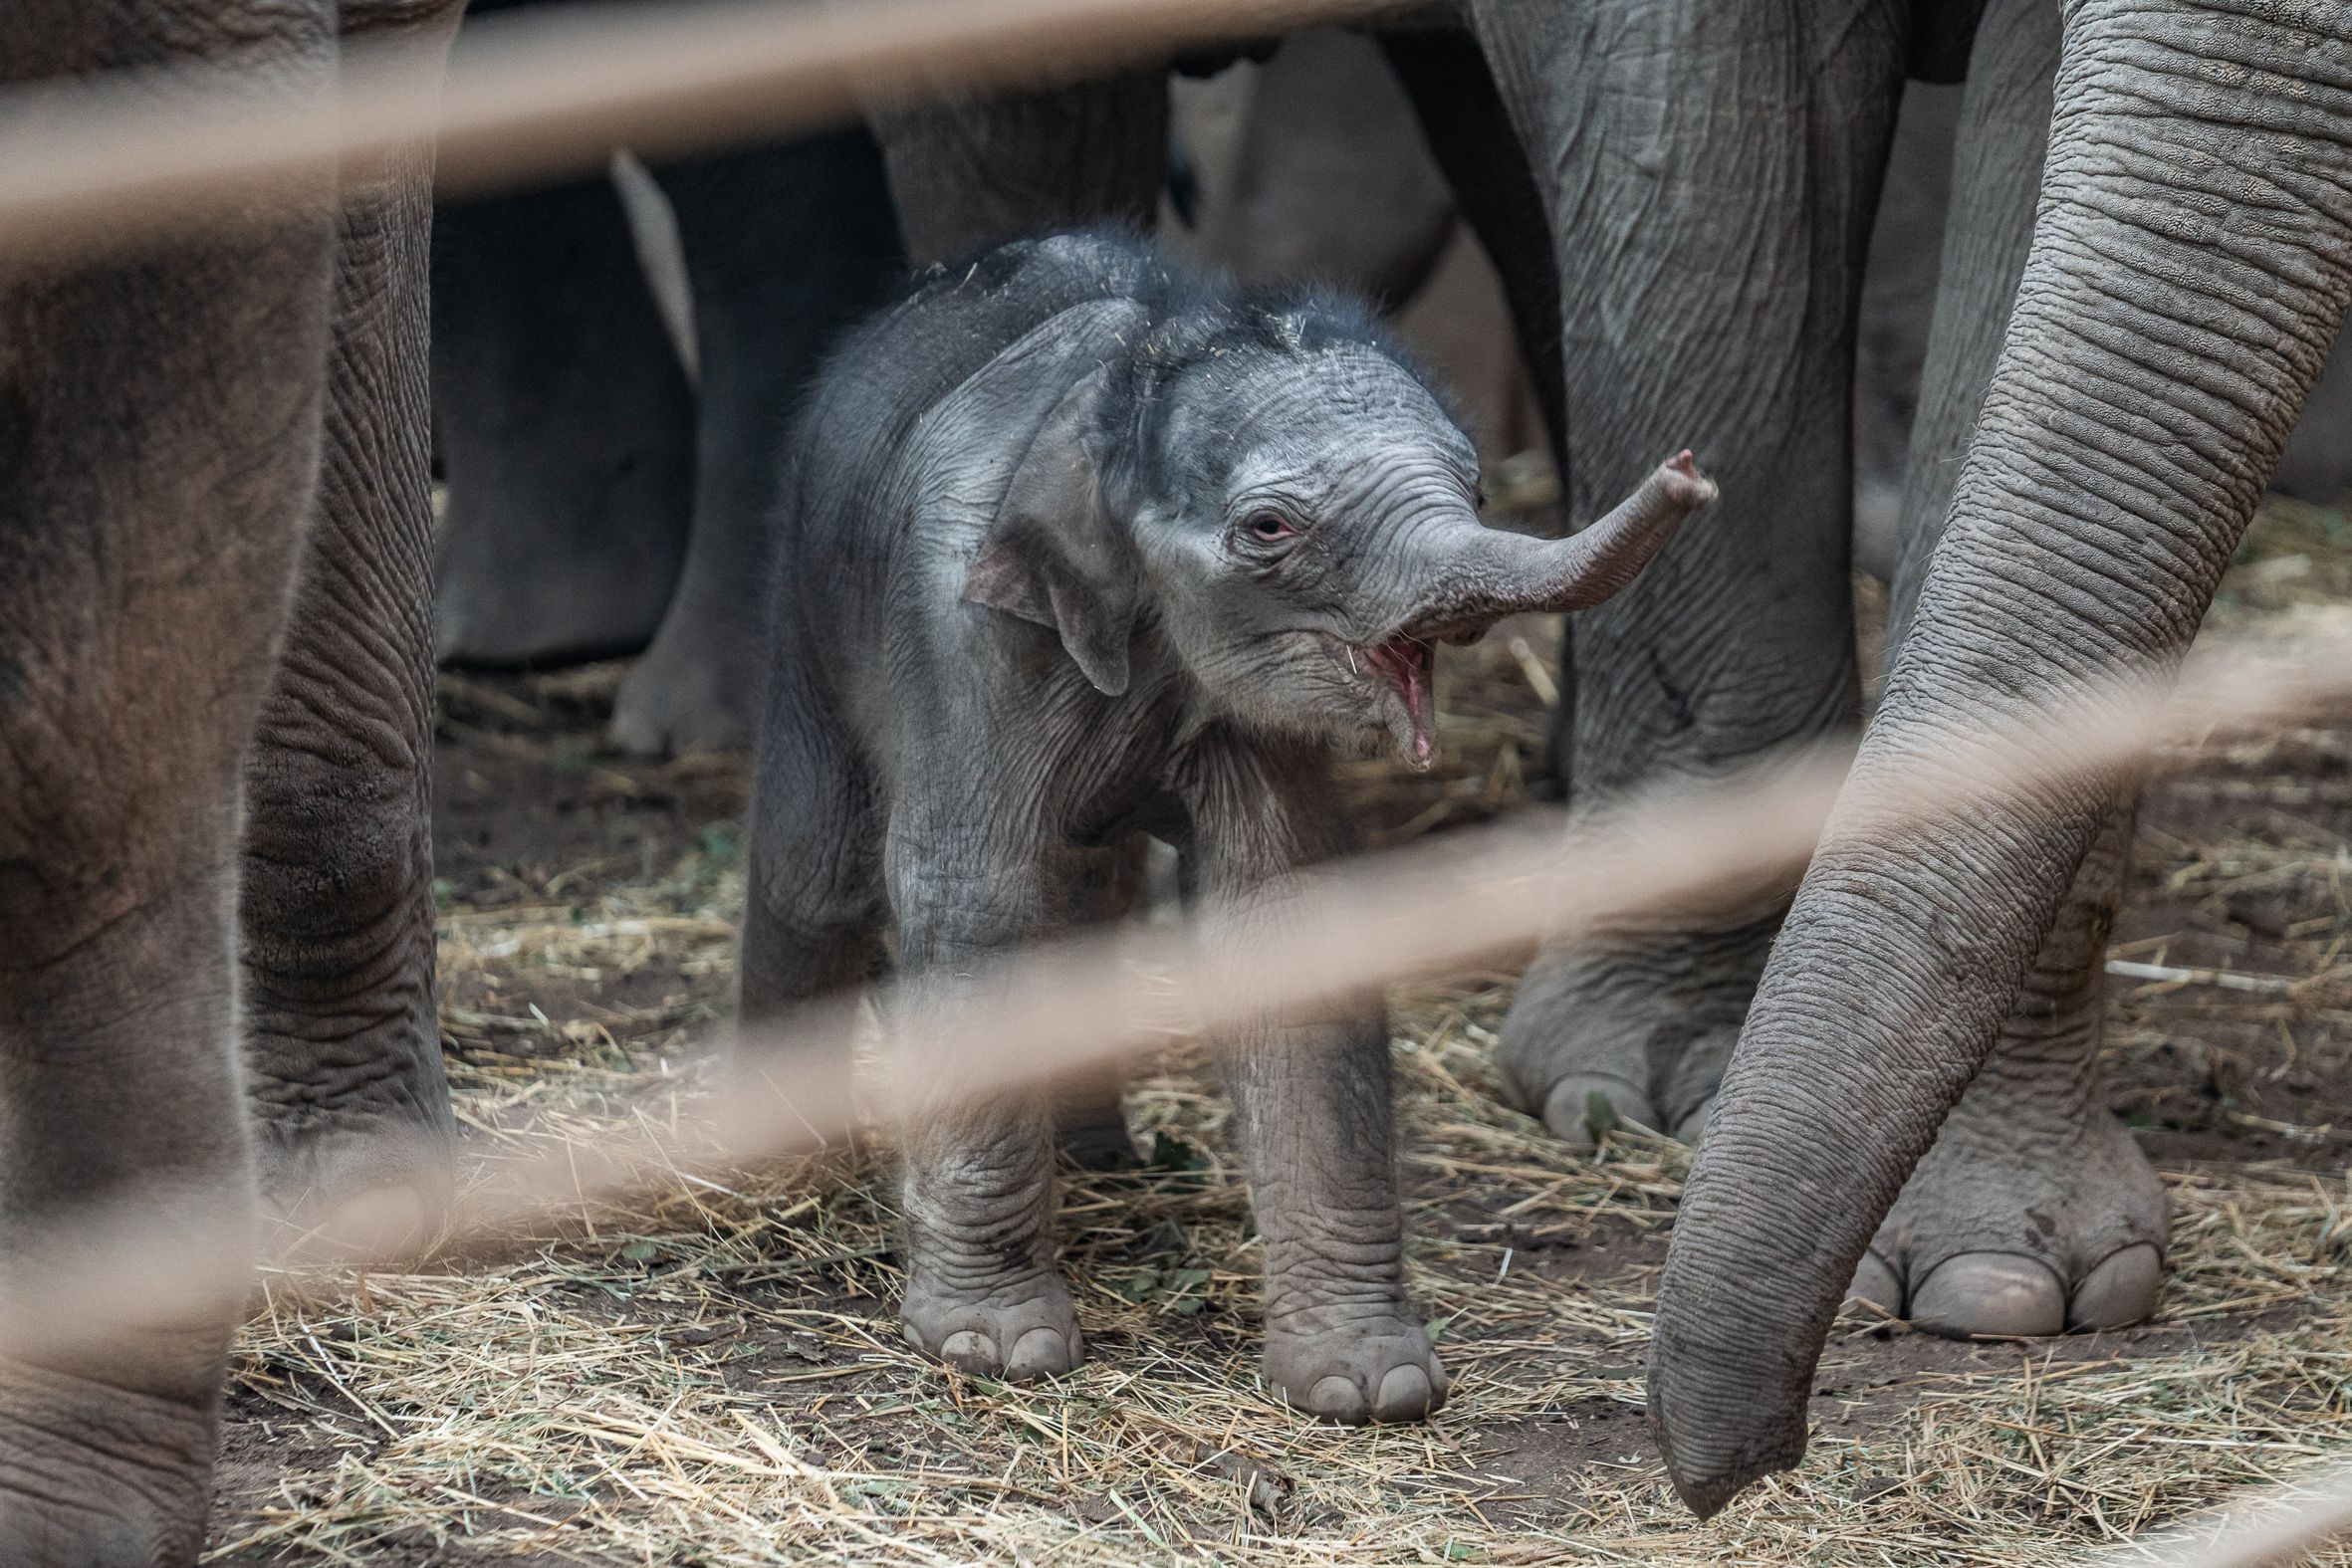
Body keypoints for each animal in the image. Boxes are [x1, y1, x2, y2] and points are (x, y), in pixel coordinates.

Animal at [734, 229, 1713, 1421]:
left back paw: (1101, 1163)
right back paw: (785, 1174)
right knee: (821, 867)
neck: (1130, 381)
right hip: (809, 590)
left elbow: (1281, 910)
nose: (1689, 467)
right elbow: (975, 895)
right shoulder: (962, 623)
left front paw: (1366, 1387)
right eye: (1269, 527)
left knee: (1086, 888)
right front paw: (992, 1351)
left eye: (1478, 484)